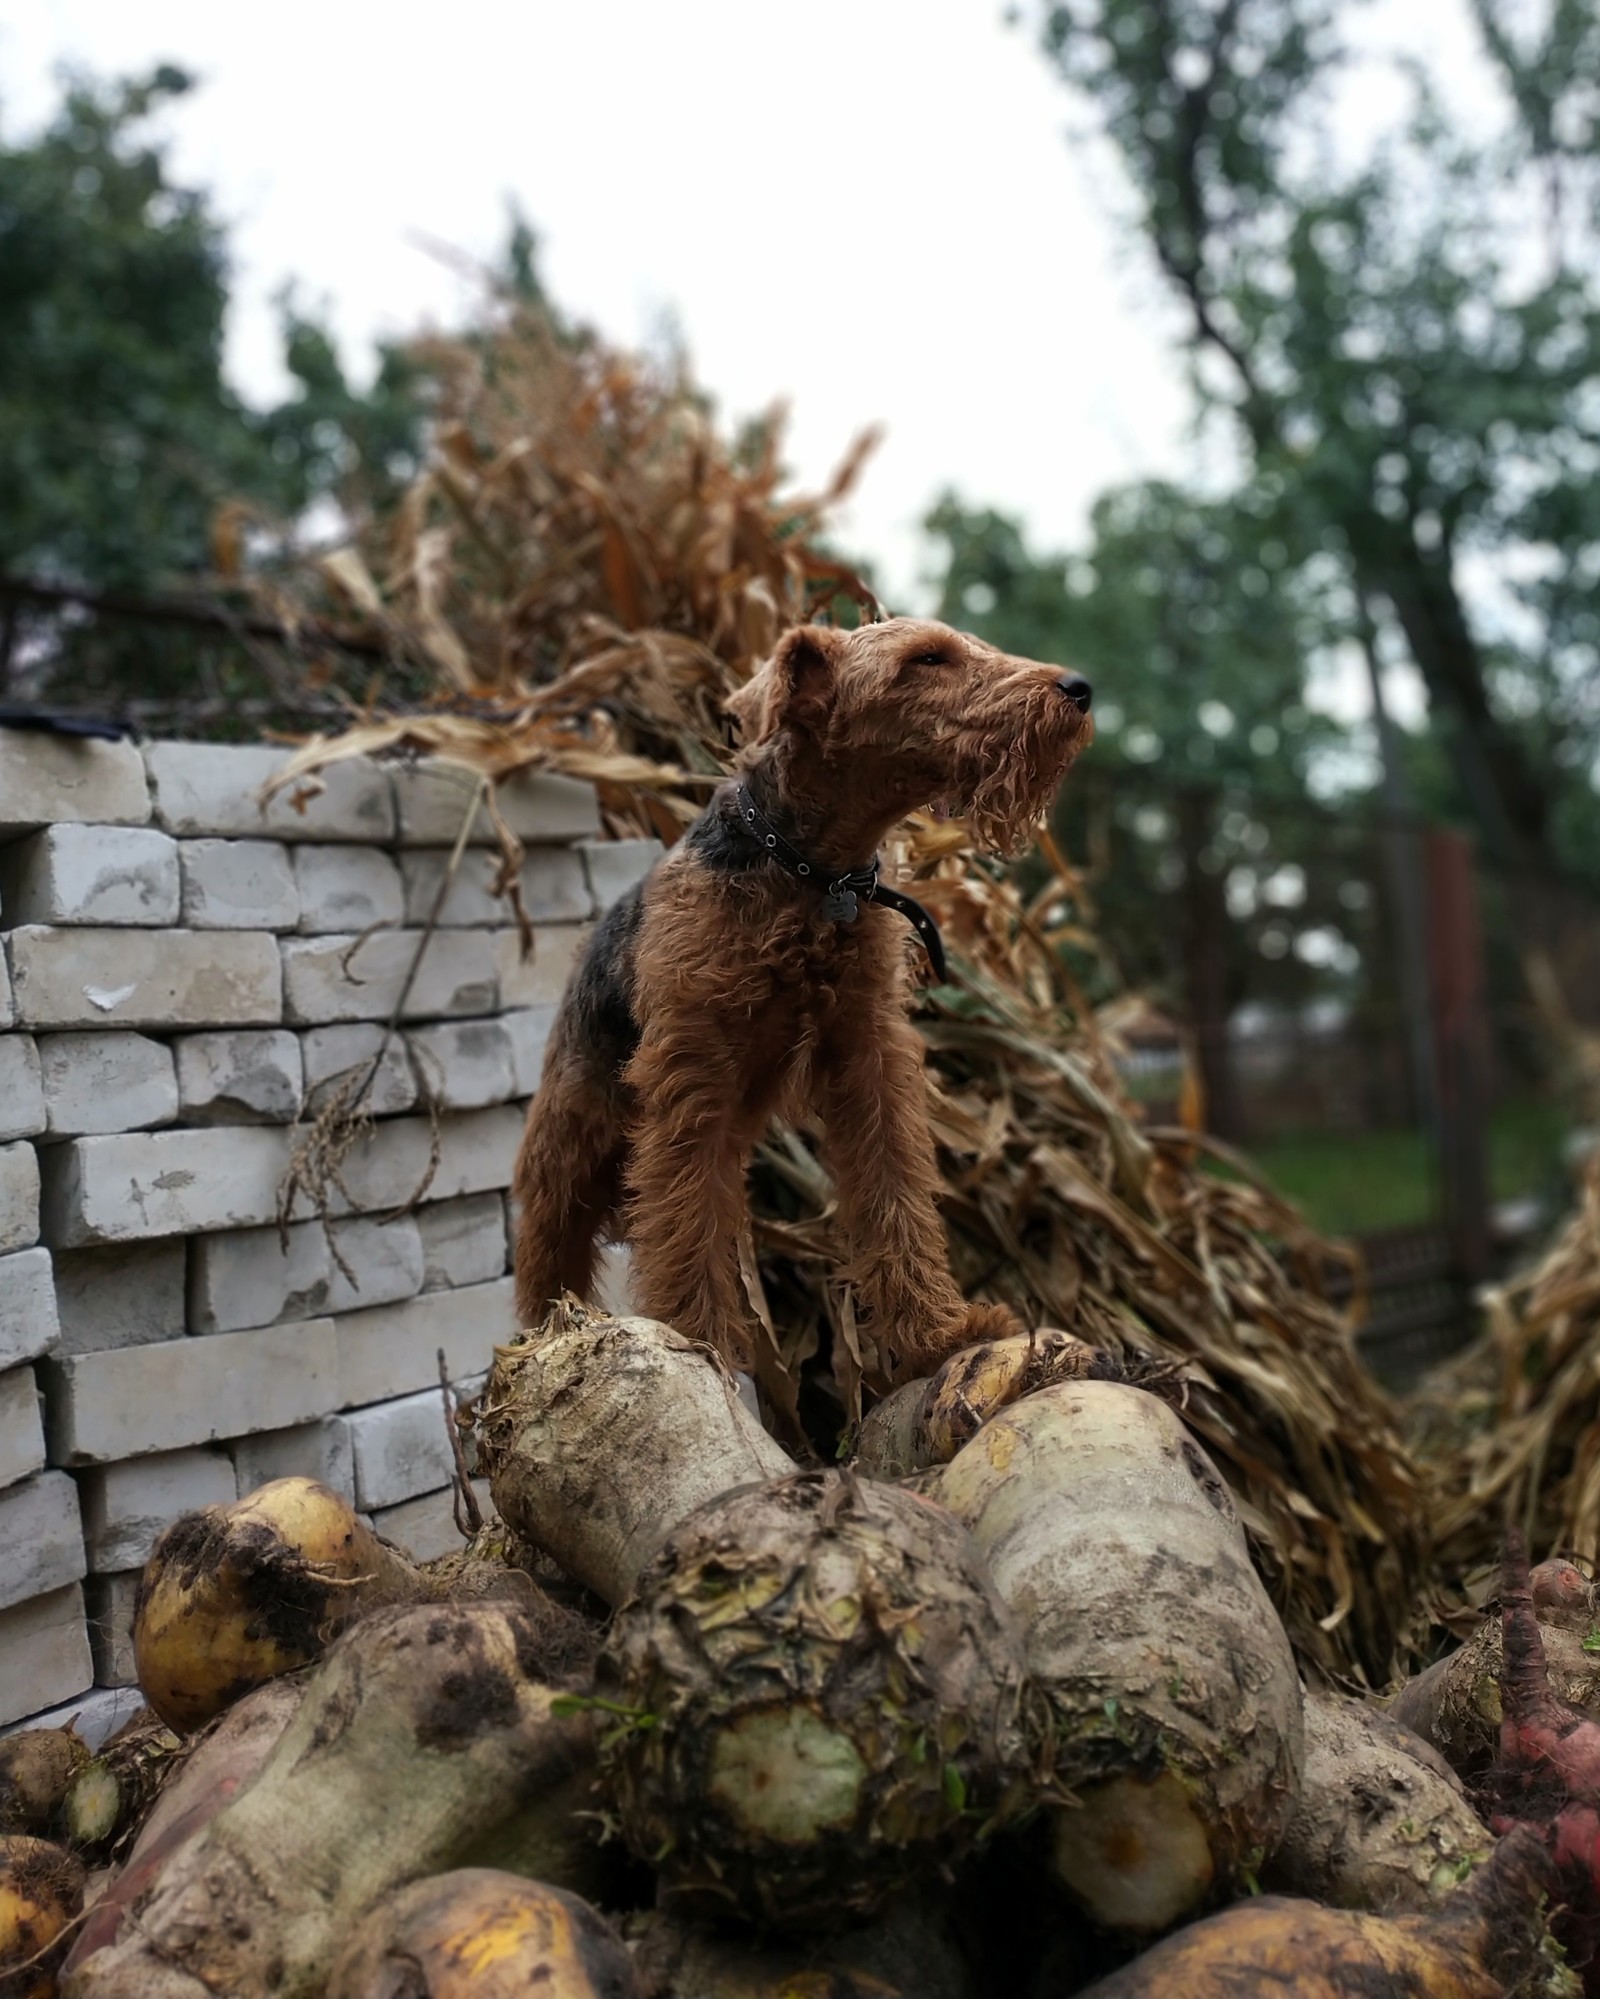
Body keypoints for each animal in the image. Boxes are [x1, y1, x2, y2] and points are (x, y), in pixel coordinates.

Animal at [506, 615, 1096, 1383]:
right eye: (927, 658)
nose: (1078, 688)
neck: (812, 871)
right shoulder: (690, 1074)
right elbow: (681, 1221)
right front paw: (701, 1343)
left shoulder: (869, 1055)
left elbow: (894, 1192)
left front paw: (937, 1333)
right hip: (570, 1146)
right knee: (551, 1254)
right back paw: (546, 1335)